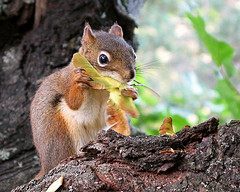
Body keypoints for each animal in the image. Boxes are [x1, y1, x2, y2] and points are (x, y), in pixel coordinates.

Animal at [31, 23, 138, 178]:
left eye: (133, 54)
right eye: (103, 59)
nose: (130, 75)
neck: (102, 88)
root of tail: (45, 166)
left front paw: (131, 92)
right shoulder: (66, 82)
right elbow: (73, 102)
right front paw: (79, 81)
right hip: (62, 135)